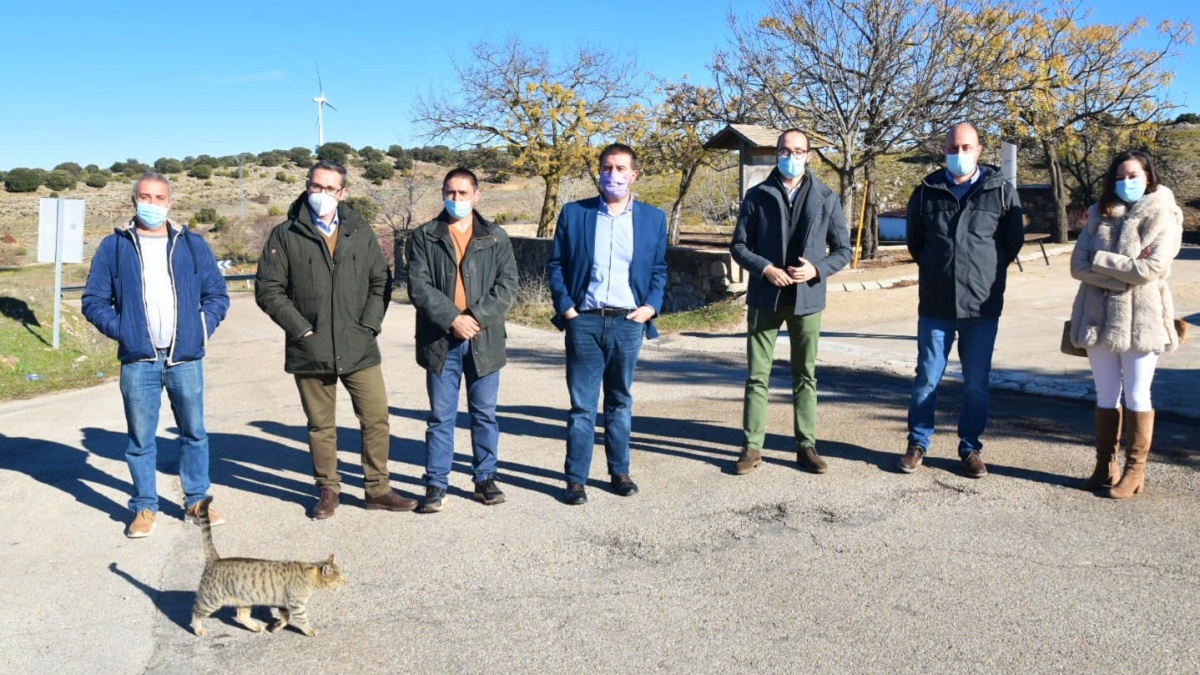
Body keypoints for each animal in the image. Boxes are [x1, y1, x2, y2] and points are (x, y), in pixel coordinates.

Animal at [189, 494, 345, 634]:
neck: (307, 573)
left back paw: (256, 628)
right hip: (211, 599)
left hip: (244, 599)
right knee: (196, 612)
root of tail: (216, 559)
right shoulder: (296, 605)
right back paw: (198, 630)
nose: (346, 582)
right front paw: (310, 630)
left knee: (242, 616)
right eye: (338, 578)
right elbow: (302, 620)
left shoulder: (284, 604)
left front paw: (277, 626)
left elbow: (285, 618)